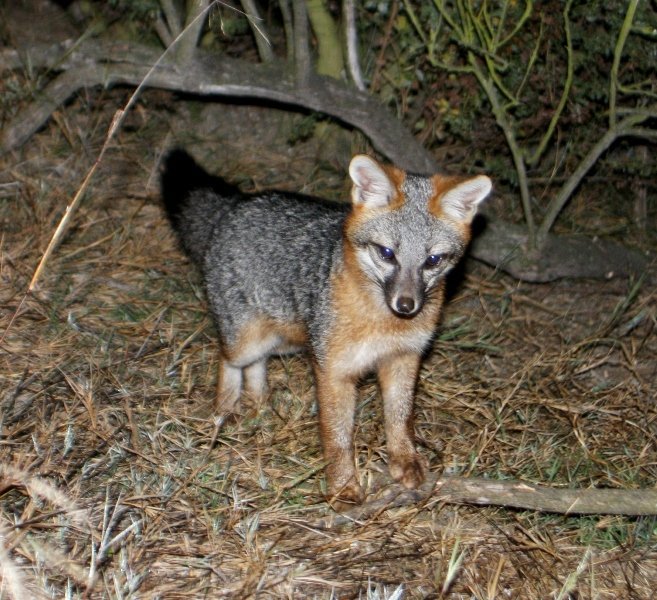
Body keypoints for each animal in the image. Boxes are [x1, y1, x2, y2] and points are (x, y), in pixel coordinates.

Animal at [161, 150, 492, 506]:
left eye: (432, 260)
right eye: (387, 253)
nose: (406, 305)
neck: (383, 324)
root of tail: (237, 203)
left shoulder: (403, 359)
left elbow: (400, 417)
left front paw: (404, 460)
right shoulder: (333, 370)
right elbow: (338, 437)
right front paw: (343, 485)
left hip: (283, 339)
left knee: (257, 366)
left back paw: (260, 402)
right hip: (247, 341)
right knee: (229, 360)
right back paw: (225, 408)